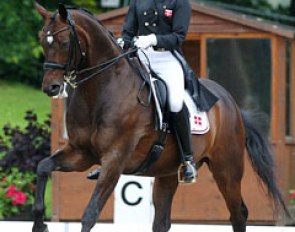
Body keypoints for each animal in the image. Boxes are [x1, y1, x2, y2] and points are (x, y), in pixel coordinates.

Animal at [33, 3, 290, 232]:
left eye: (65, 43)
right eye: (42, 42)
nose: (51, 88)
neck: (102, 90)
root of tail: (231, 103)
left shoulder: (115, 159)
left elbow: (90, 214)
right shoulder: (81, 153)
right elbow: (42, 167)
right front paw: (39, 225)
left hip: (227, 168)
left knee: (238, 214)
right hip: (167, 173)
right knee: (162, 222)